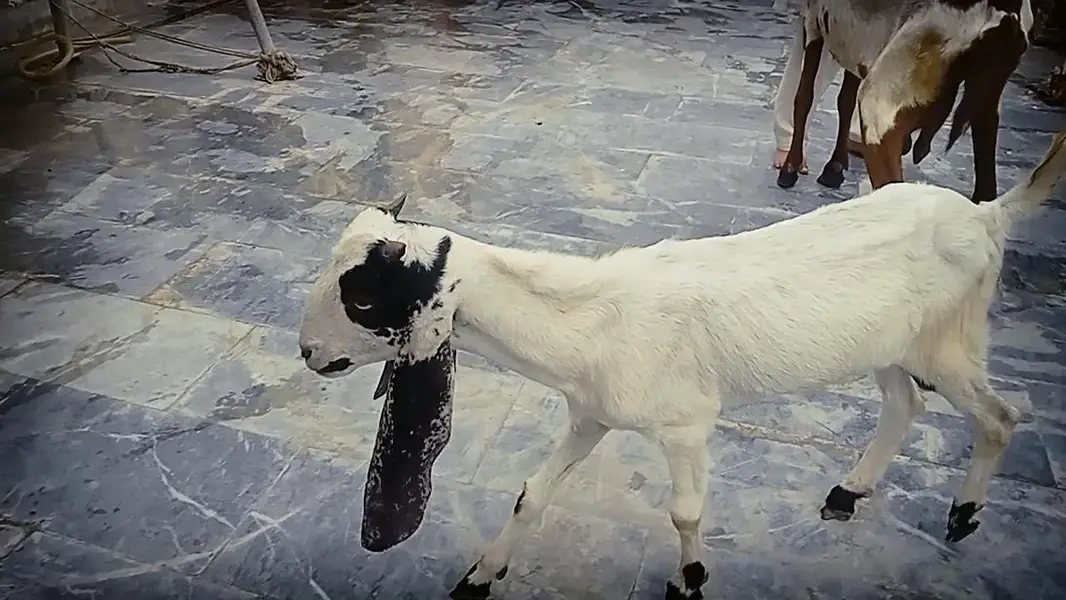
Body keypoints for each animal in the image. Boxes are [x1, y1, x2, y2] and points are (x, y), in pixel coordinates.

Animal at [299, 132, 1065, 599]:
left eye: (362, 296)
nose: (308, 353)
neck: (592, 321)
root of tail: (989, 215)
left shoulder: (687, 424)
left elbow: (686, 510)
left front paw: (689, 579)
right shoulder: (590, 414)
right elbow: (531, 494)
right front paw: (480, 577)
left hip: (949, 340)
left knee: (999, 418)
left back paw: (963, 515)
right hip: (890, 345)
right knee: (906, 404)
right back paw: (849, 492)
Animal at [777, 0, 1034, 204]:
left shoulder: (814, 20)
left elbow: (804, 96)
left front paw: (790, 168)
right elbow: (843, 101)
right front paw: (834, 168)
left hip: (879, 101)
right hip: (986, 105)